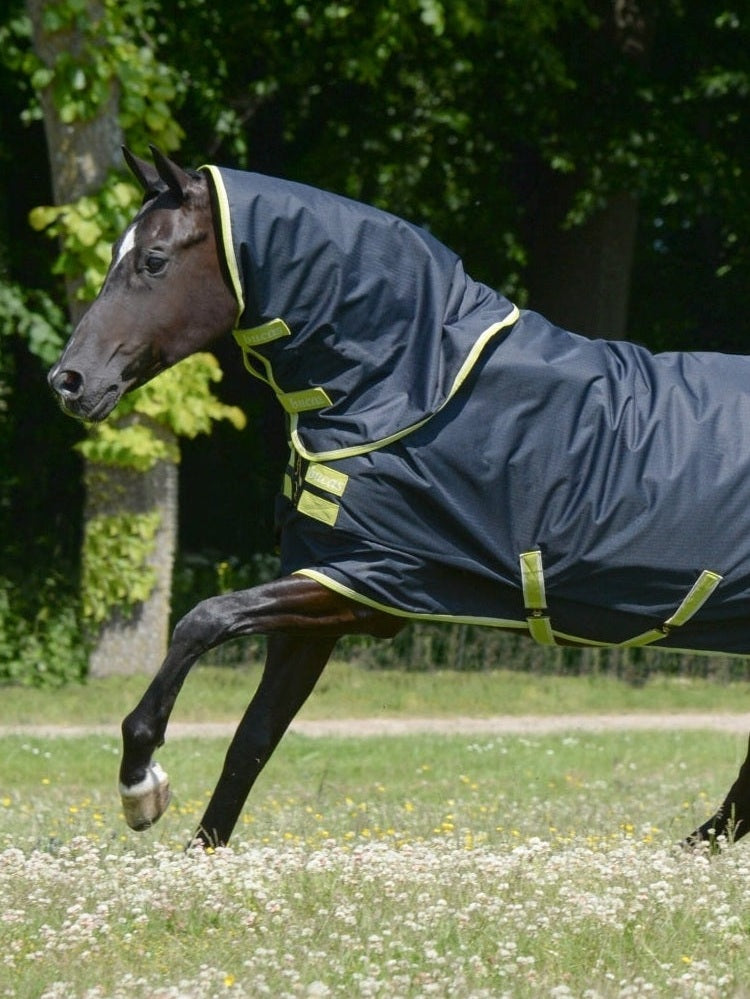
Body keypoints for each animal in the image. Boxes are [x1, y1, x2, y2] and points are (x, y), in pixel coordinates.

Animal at [48, 146, 750, 849]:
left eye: (154, 259)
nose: (69, 381)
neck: (405, 390)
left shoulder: (373, 582)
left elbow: (204, 619)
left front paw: (141, 786)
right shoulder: (326, 591)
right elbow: (252, 742)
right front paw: (194, 858)